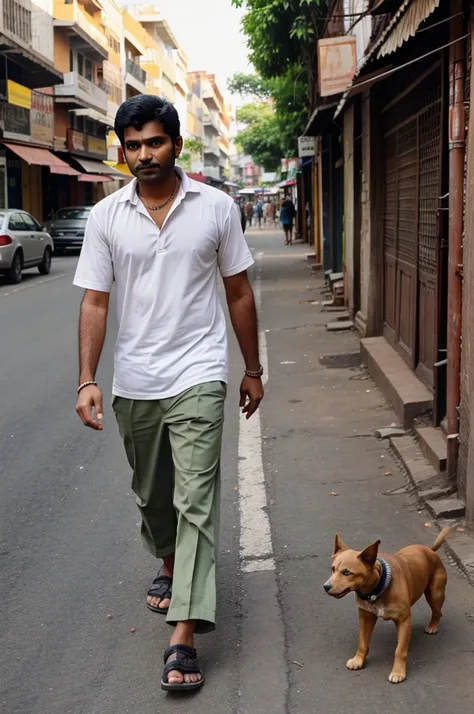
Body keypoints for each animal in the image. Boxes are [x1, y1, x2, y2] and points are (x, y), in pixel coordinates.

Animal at [324, 524, 450, 680]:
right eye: (333, 569)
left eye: (347, 572)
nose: (326, 586)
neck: (377, 588)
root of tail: (430, 550)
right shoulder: (365, 617)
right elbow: (362, 642)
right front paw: (358, 660)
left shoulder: (404, 620)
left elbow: (400, 650)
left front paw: (398, 671)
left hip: (435, 594)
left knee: (437, 611)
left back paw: (433, 626)